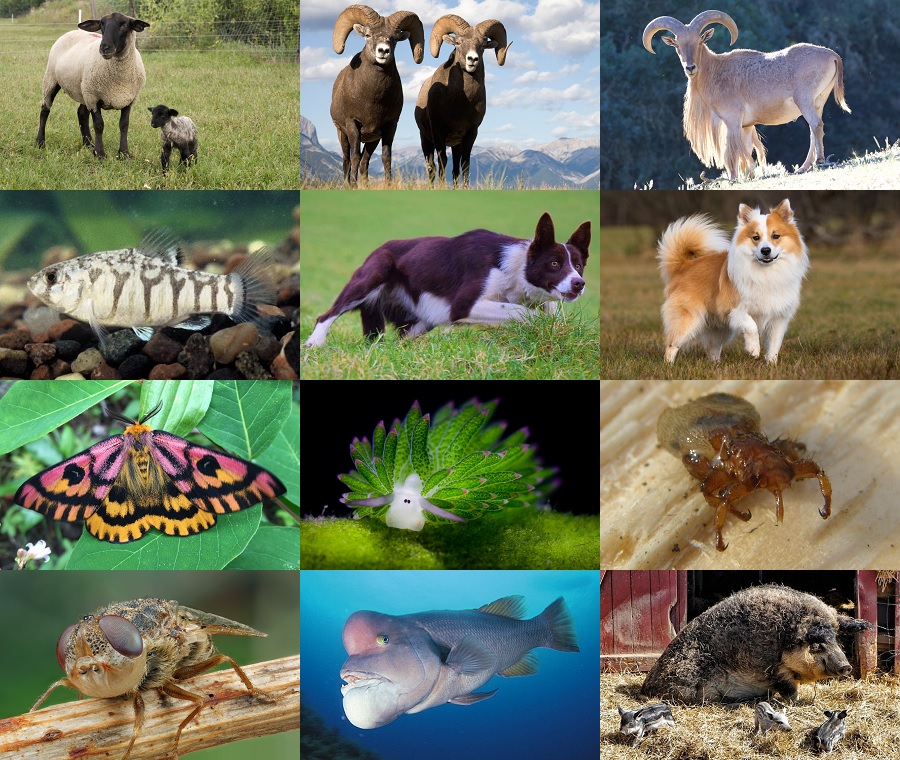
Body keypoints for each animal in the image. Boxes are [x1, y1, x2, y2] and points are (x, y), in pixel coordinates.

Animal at [37, 12, 149, 159]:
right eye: (102, 24)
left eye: (124, 25)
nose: (104, 47)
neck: (119, 80)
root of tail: (73, 31)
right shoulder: (94, 98)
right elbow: (99, 125)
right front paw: (100, 154)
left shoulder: (129, 99)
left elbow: (124, 125)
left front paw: (124, 153)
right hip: (51, 79)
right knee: (45, 110)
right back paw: (40, 142)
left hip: (84, 89)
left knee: (81, 113)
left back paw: (89, 144)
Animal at [330, 5, 424, 187]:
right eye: (368, 35)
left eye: (394, 39)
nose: (383, 51)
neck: (372, 100)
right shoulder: (352, 124)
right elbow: (354, 157)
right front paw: (354, 186)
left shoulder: (389, 126)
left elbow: (386, 157)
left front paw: (388, 184)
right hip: (341, 134)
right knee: (347, 160)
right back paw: (348, 183)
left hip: (372, 139)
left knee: (365, 161)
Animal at [414, 16, 510, 188]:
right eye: (458, 42)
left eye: (483, 45)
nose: (472, 59)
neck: (460, 104)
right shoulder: (438, 132)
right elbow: (442, 161)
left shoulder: (470, 133)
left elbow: (464, 164)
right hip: (426, 140)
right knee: (431, 167)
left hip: (455, 145)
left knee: (455, 170)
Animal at [642, 10, 850, 180]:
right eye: (677, 45)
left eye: (699, 41)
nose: (690, 67)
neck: (715, 71)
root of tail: (832, 55)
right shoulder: (747, 126)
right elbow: (748, 149)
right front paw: (749, 175)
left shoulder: (732, 120)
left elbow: (731, 151)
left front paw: (734, 178)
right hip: (819, 101)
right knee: (815, 129)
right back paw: (803, 167)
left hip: (804, 100)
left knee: (815, 125)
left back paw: (819, 161)